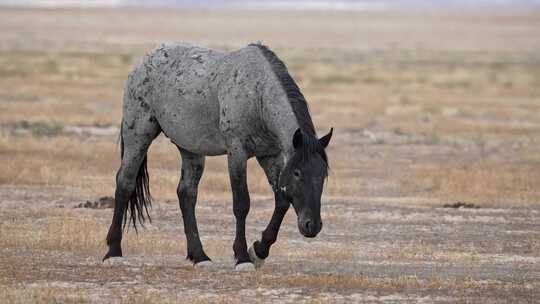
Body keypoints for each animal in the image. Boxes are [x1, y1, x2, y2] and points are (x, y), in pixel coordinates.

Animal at [103, 41, 332, 270]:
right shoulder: (237, 153)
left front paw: (259, 251)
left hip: (191, 149)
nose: (312, 225)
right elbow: (241, 204)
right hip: (138, 135)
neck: (256, 94)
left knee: (187, 194)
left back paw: (199, 256)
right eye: (297, 173)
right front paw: (242, 257)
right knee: (125, 183)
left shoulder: (270, 156)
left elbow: (282, 201)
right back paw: (113, 252)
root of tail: (143, 62)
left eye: (323, 175)